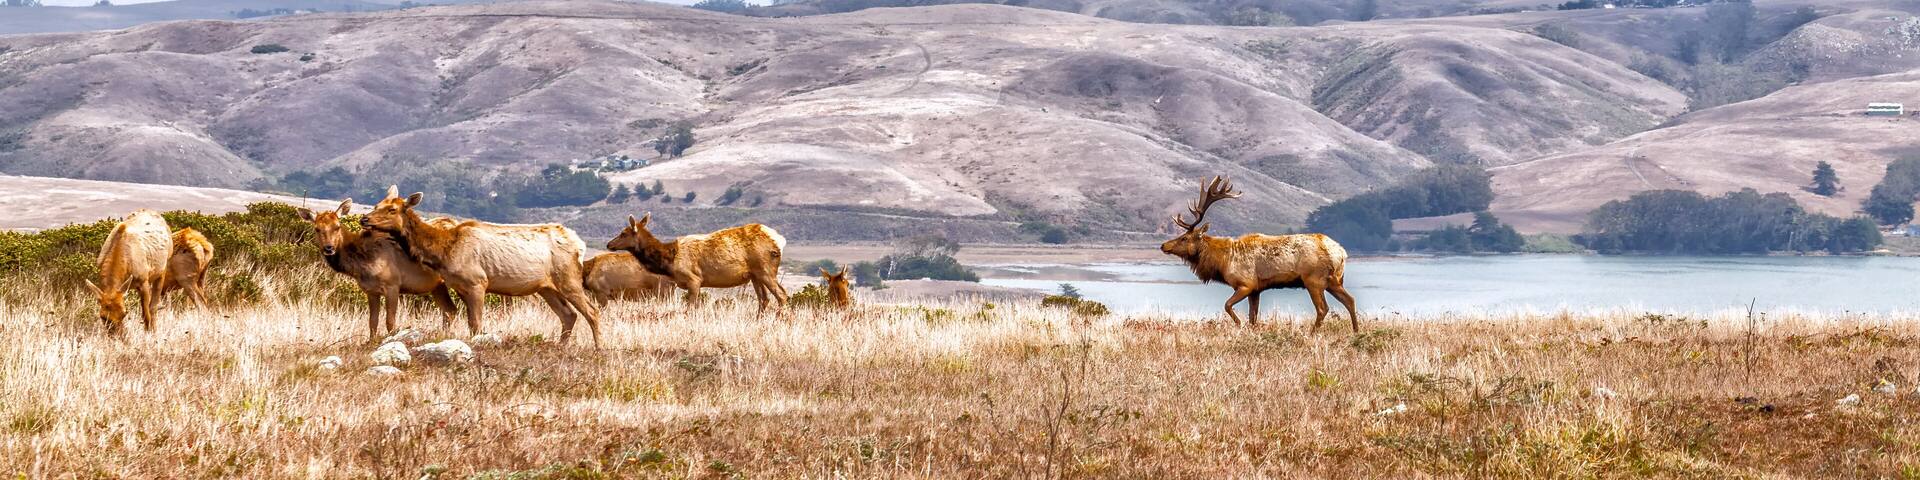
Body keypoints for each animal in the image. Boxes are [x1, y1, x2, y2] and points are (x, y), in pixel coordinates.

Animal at [298, 199, 460, 342]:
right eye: (317, 228)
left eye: (337, 226)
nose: (329, 248)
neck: (362, 266)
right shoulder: (371, 291)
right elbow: (372, 322)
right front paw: (371, 342)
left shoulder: (393, 284)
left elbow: (390, 322)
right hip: (437, 286)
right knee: (450, 310)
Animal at [363, 187, 608, 347]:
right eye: (376, 205)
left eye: (392, 210)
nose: (364, 219)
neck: (444, 251)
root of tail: (580, 244)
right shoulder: (461, 286)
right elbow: (470, 321)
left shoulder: (478, 282)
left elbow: (476, 323)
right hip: (546, 287)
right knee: (568, 314)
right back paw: (561, 346)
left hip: (568, 277)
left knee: (591, 311)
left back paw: (599, 348)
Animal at [606, 213, 790, 312]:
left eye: (623, 233)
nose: (609, 244)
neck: (670, 261)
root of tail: (779, 240)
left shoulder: (694, 279)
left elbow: (691, 307)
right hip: (754, 275)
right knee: (764, 300)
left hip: (765, 269)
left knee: (782, 295)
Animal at [1160, 176, 1359, 331]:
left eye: (1184, 238)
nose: (1163, 246)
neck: (1223, 262)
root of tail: (1341, 252)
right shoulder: (1256, 290)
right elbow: (1253, 317)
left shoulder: (1245, 284)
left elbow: (1228, 306)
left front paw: (1239, 325)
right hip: (1334, 280)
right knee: (1350, 300)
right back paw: (1356, 332)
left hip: (1313, 279)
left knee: (1323, 308)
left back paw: (1312, 334)